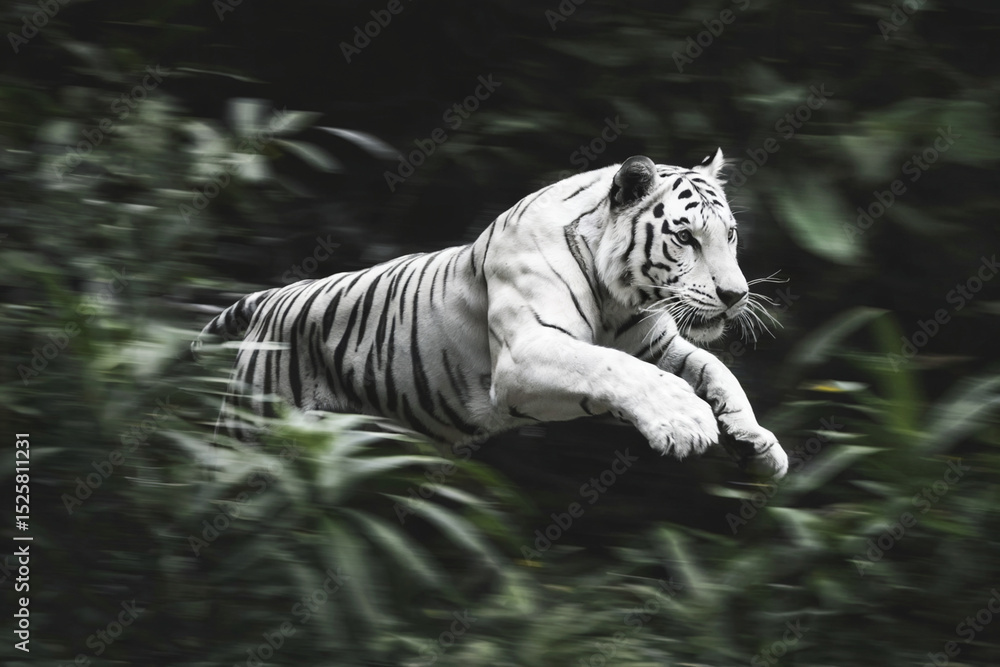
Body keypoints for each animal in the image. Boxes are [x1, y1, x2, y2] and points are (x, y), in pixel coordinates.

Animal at [197, 150, 789, 478]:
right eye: (686, 238)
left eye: (729, 235)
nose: (735, 294)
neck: (619, 297)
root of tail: (275, 295)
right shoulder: (526, 354)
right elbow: (615, 368)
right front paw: (686, 423)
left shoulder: (657, 344)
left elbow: (717, 370)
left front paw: (758, 442)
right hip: (251, 424)